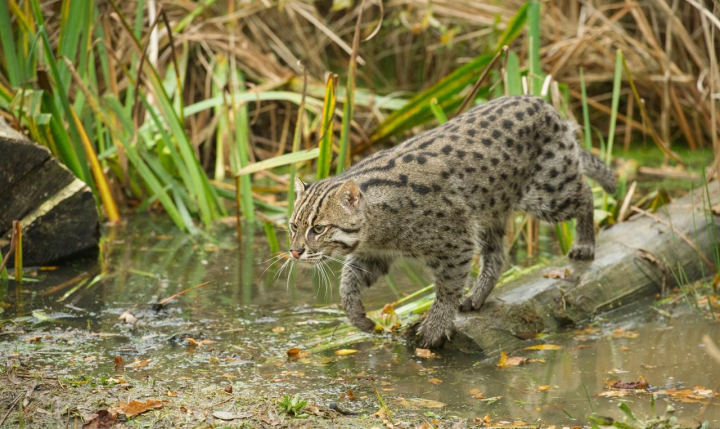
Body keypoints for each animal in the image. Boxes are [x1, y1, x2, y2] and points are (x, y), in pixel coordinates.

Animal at [286, 95, 612, 346]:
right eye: (293, 226)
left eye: (318, 228)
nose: (294, 252)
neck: (376, 228)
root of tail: (546, 104)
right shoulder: (376, 254)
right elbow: (348, 281)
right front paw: (357, 316)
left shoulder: (456, 243)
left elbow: (447, 288)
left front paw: (435, 326)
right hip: (491, 211)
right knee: (497, 256)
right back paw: (478, 295)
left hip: (549, 193)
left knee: (586, 193)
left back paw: (585, 243)